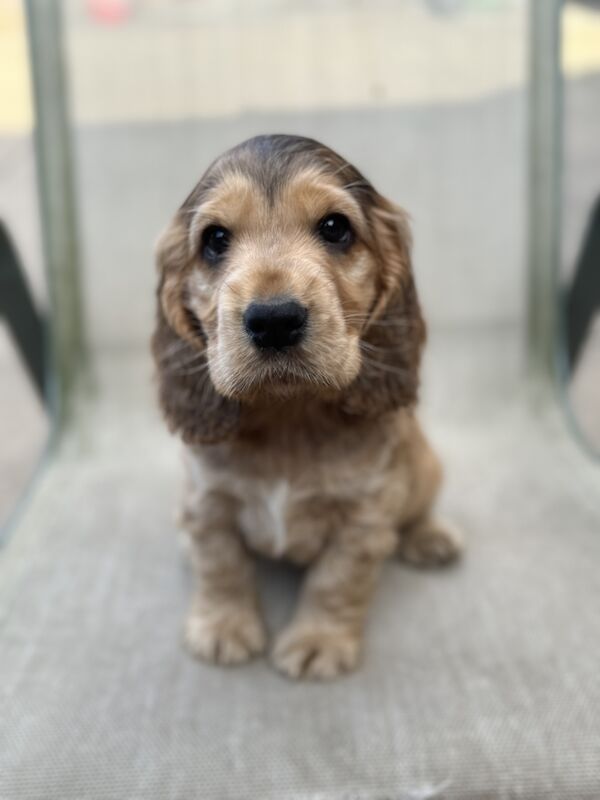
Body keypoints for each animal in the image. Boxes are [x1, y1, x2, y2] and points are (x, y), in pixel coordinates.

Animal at [152, 134, 462, 680]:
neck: (288, 414)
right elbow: (220, 564)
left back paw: (431, 536)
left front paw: (319, 641)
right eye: (214, 239)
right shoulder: (206, 501)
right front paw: (222, 627)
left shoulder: (364, 518)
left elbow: (336, 581)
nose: (274, 319)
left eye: (335, 228)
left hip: (425, 465)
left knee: (419, 507)